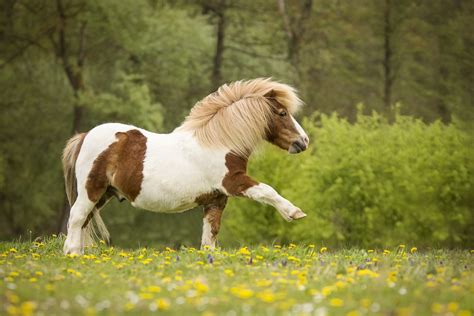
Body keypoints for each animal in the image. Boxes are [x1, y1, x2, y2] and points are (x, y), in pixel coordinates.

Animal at [62, 78, 308, 254]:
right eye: (282, 113)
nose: (303, 141)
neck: (220, 143)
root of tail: (84, 136)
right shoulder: (234, 183)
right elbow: (267, 190)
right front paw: (295, 213)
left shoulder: (216, 200)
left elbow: (210, 236)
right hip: (91, 190)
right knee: (76, 217)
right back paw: (72, 254)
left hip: (104, 194)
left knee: (83, 221)